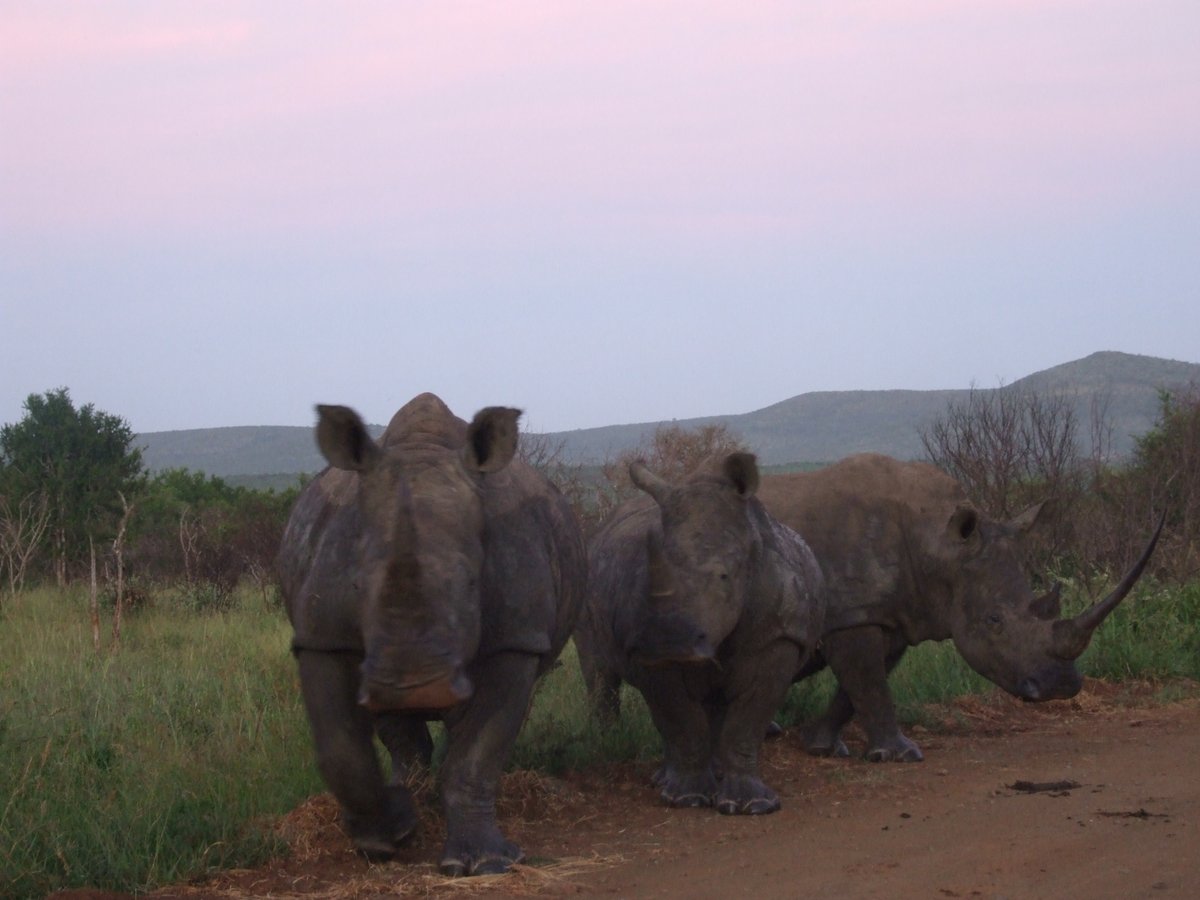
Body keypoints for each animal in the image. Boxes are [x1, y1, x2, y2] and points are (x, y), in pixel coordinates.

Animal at [276, 393, 585, 873]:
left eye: (473, 585)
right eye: (356, 586)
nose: (414, 689)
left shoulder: (516, 640)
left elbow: (478, 752)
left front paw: (486, 864)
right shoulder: (321, 636)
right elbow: (340, 748)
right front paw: (387, 837)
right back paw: (411, 801)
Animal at [573, 453, 825, 816]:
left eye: (724, 577)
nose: (668, 644)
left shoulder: (779, 636)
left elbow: (748, 720)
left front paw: (752, 806)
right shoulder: (649, 651)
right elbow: (680, 720)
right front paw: (685, 799)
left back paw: (710, 774)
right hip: (587, 575)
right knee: (599, 671)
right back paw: (640, 766)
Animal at [758, 453, 1161, 763]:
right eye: (994, 620)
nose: (1059, 687)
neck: (937, 544)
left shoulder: (894, 613)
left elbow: (860, 685)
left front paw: (822, 746)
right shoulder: (853, 615)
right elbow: (868, 682)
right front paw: (903, 755)